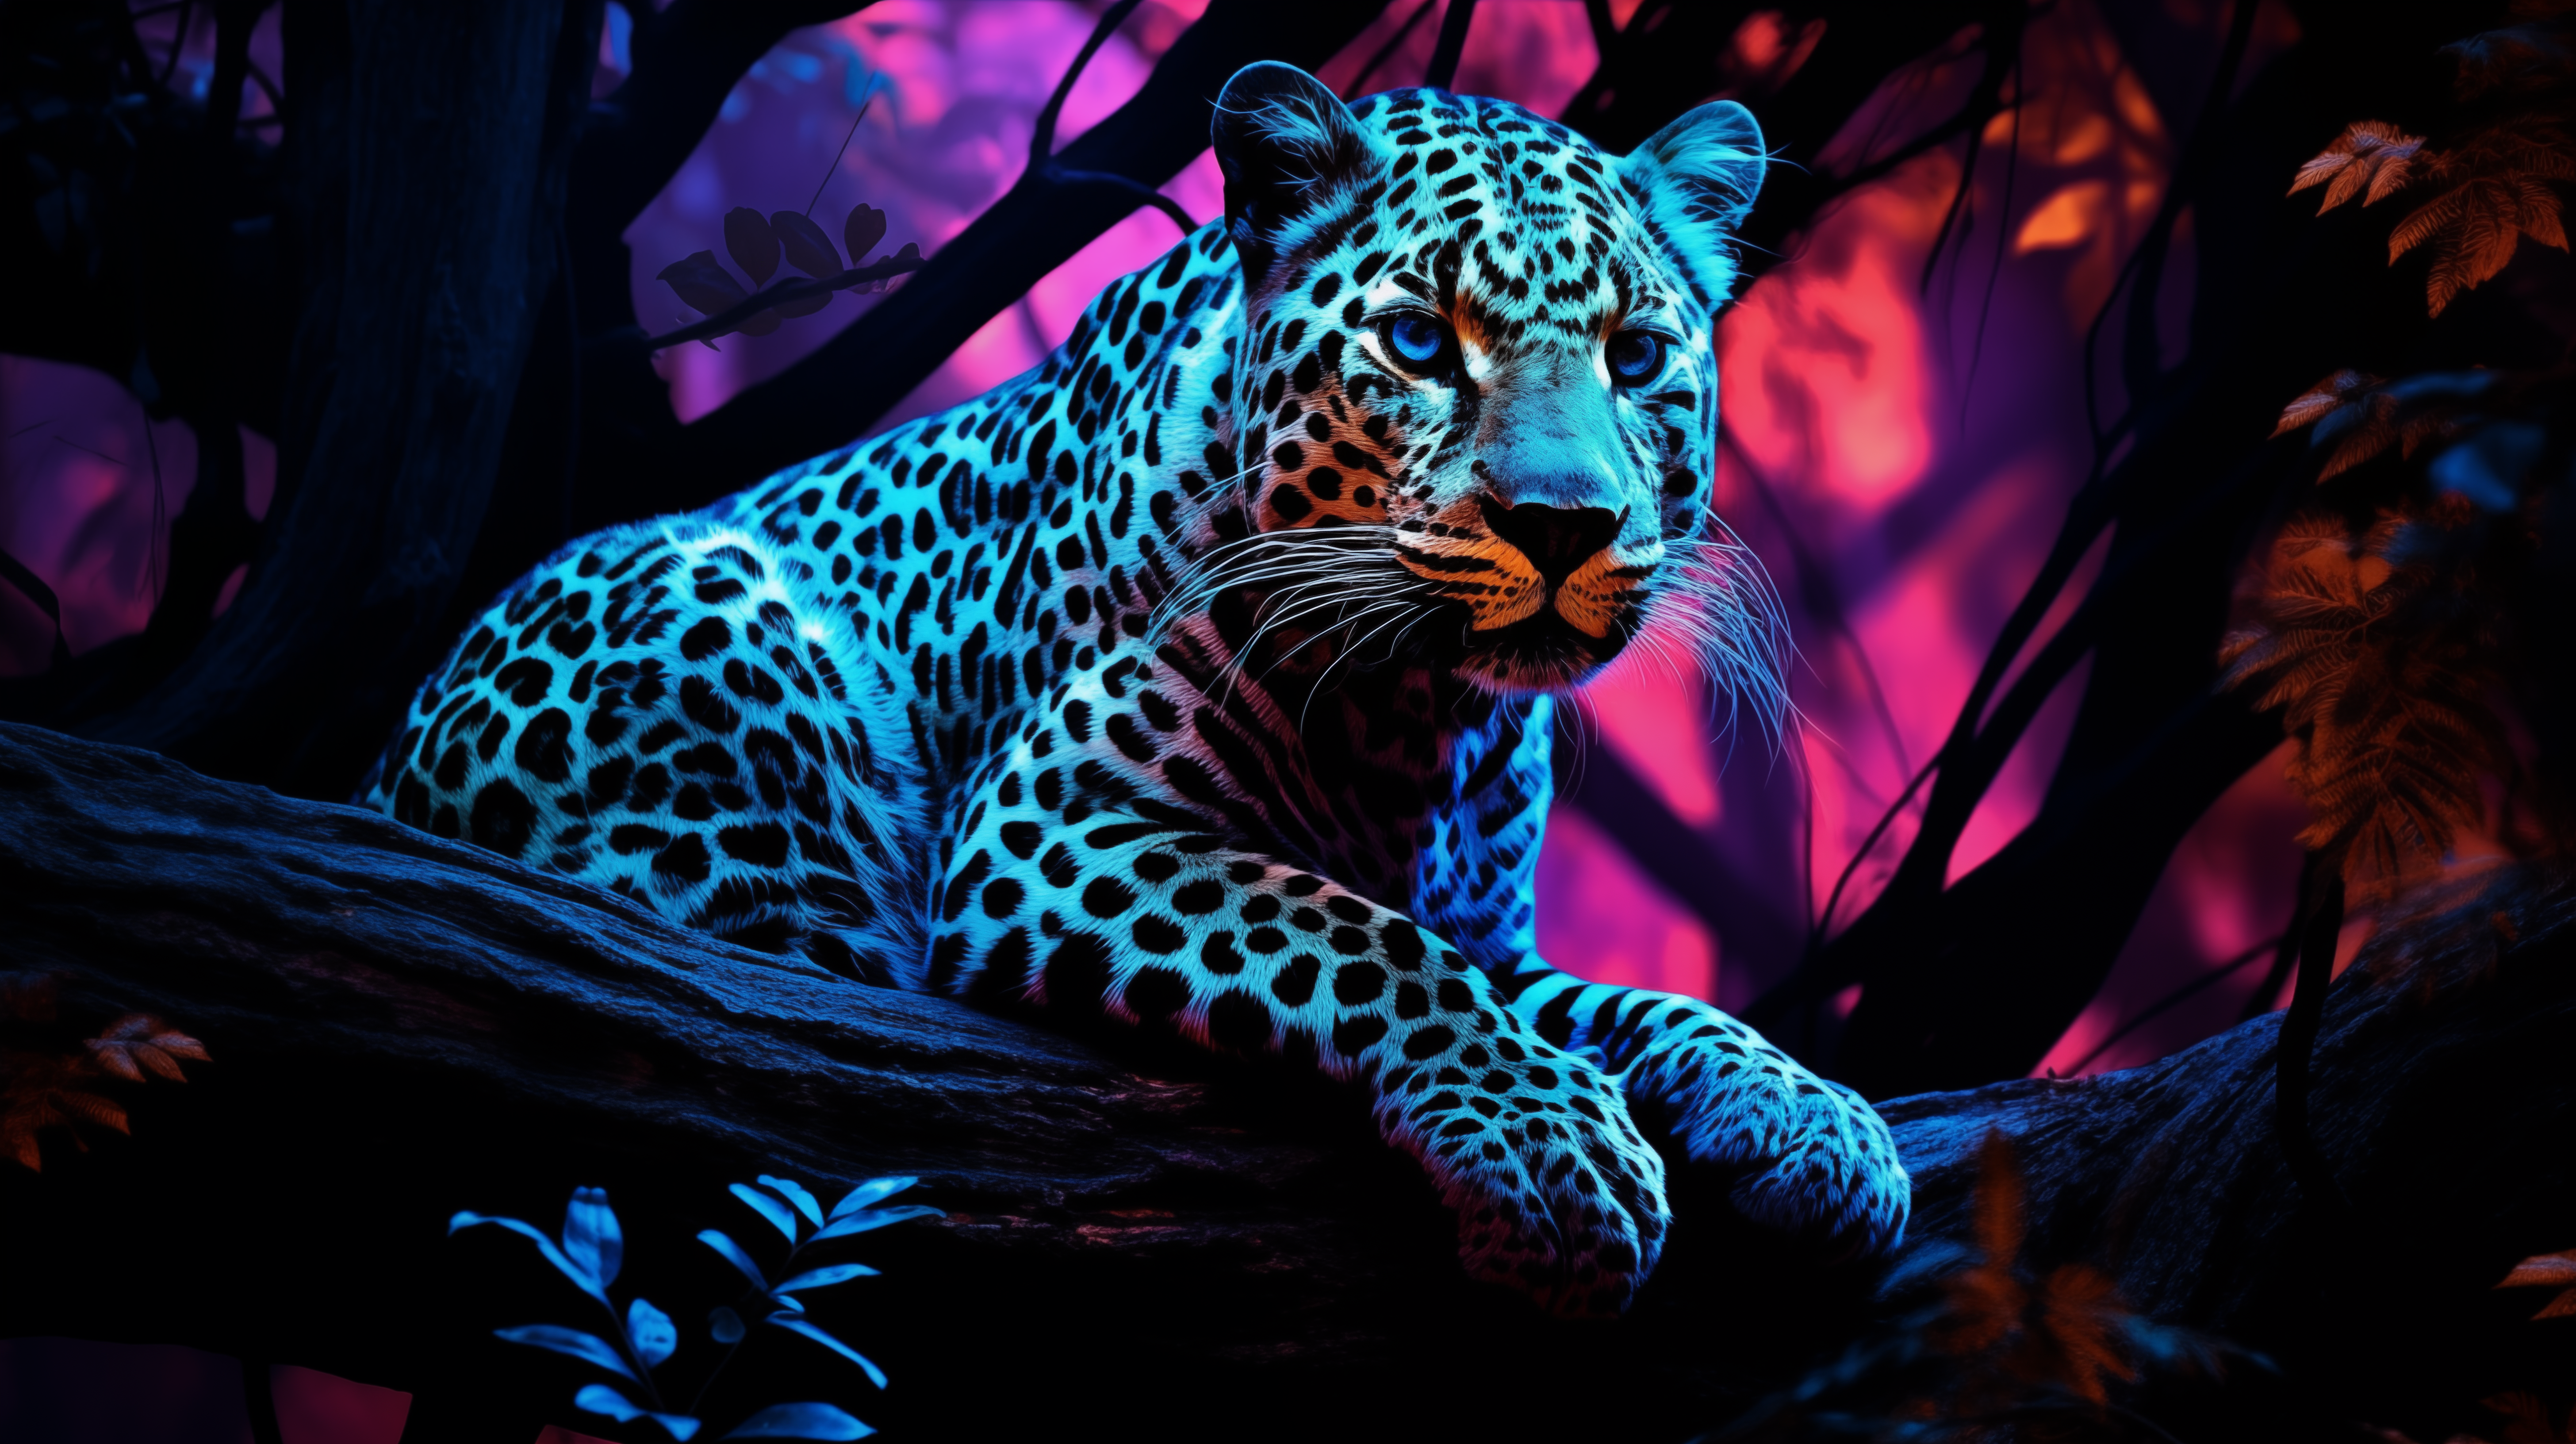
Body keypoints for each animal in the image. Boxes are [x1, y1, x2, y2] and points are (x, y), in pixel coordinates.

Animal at [364, 61, 1910, 1317]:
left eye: (1637, 358)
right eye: (1421, 343)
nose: (1564, 522)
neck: (1428, 718)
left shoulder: (1492, 923)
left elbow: (1607, 997)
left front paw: (1810, 1112)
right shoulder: (1053, 824)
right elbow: (1363, 936)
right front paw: (1551, 1152)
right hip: (715, 647)